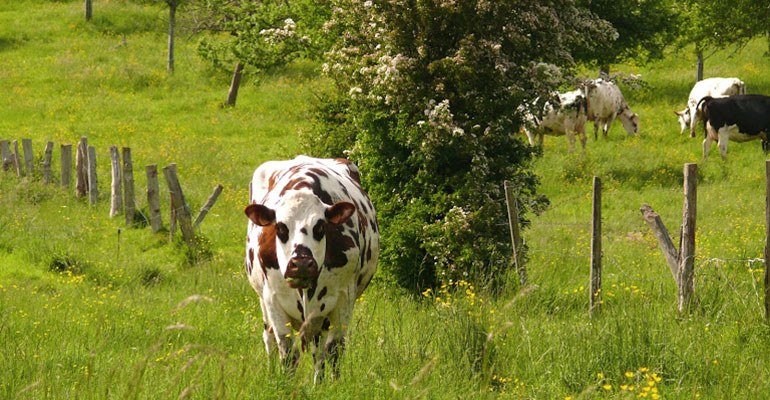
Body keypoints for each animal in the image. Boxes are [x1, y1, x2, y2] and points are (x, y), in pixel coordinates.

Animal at [243, 156, 379, 382]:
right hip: (263, 301)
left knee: (319, 350)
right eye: (280, 227)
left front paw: (330, 385)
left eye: (320, 226)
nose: (301, 264)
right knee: (269, 338)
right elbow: (287, 351)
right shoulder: (273, 299)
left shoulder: (343, 298)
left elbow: (333, 350)